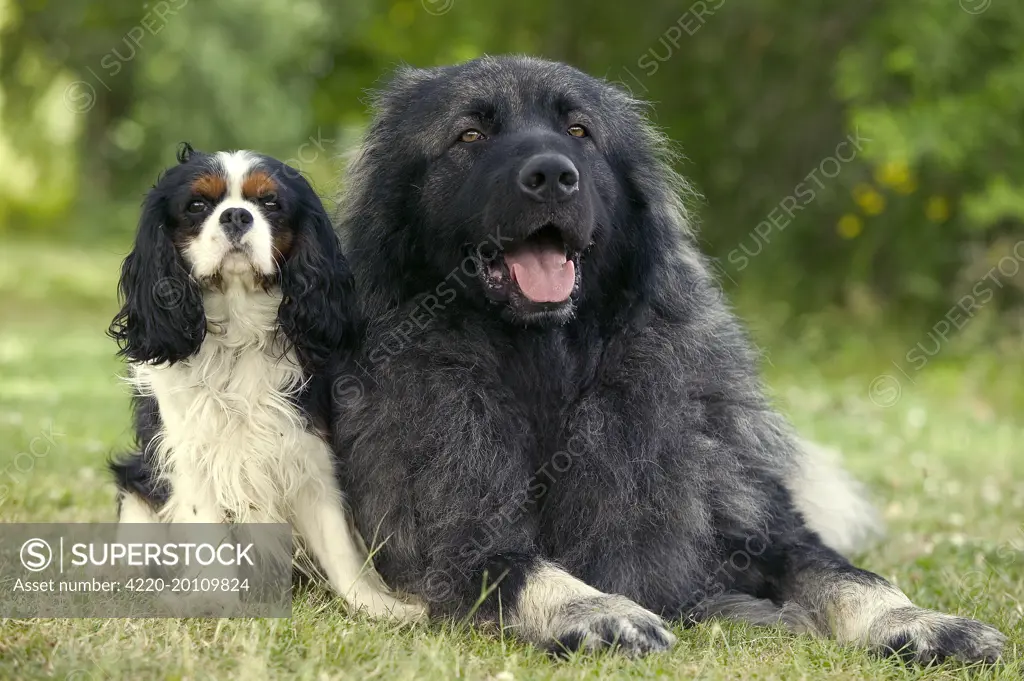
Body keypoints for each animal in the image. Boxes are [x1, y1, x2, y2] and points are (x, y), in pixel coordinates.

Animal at [333, 55, 999, 659]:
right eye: (470, 135)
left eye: (579, 131)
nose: (551, 174)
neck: (547, 373)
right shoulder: (452, 547)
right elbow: (529, 570)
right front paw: (598, 611)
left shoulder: (766, 529)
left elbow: (851, 577)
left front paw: (925, 623)